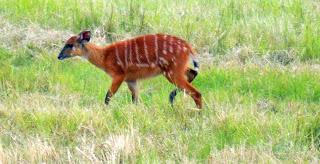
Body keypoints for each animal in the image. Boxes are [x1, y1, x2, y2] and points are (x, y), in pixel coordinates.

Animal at [57, 30, 202, 108]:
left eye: (69, 44)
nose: (59, 56)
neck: (105, 56)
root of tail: (188, 47)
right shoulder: (131, 80)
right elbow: (135, 100)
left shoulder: (119, 75)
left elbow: (108, 96)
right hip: (176, 69)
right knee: (192, 73)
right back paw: (171, 98)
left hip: (171, 71)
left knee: (196, 92)